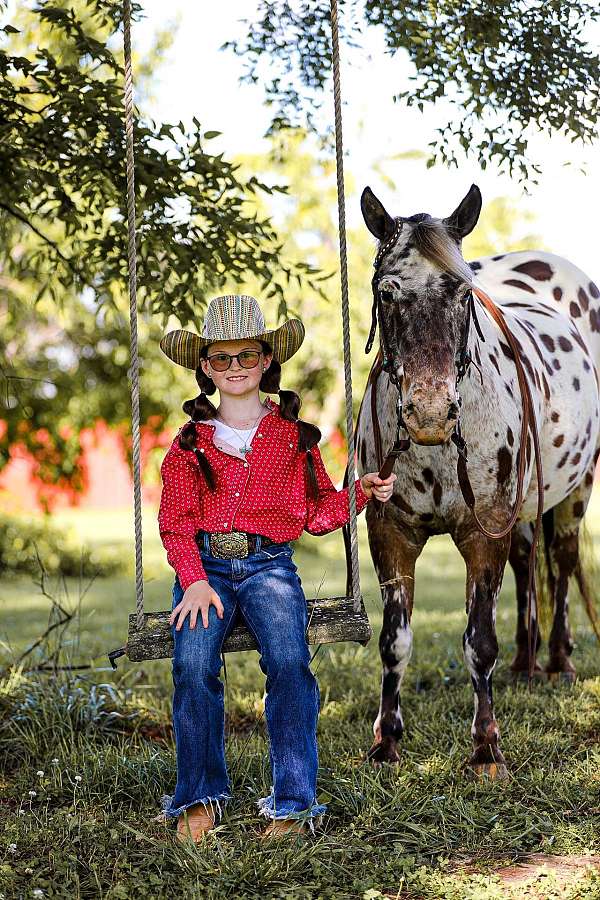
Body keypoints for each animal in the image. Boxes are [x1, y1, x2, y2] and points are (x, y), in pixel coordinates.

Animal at [354, 186, 596, 776]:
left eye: (463, 293)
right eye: (387, 292)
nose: (429, 413)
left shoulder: (481, 536)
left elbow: (479, 641)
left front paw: (486, 747)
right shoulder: (391, 533)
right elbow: (395, 641)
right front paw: (386, 741)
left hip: (576, 491)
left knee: (561, 564)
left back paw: (558, 662)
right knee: (529, 563)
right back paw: (526, 661)